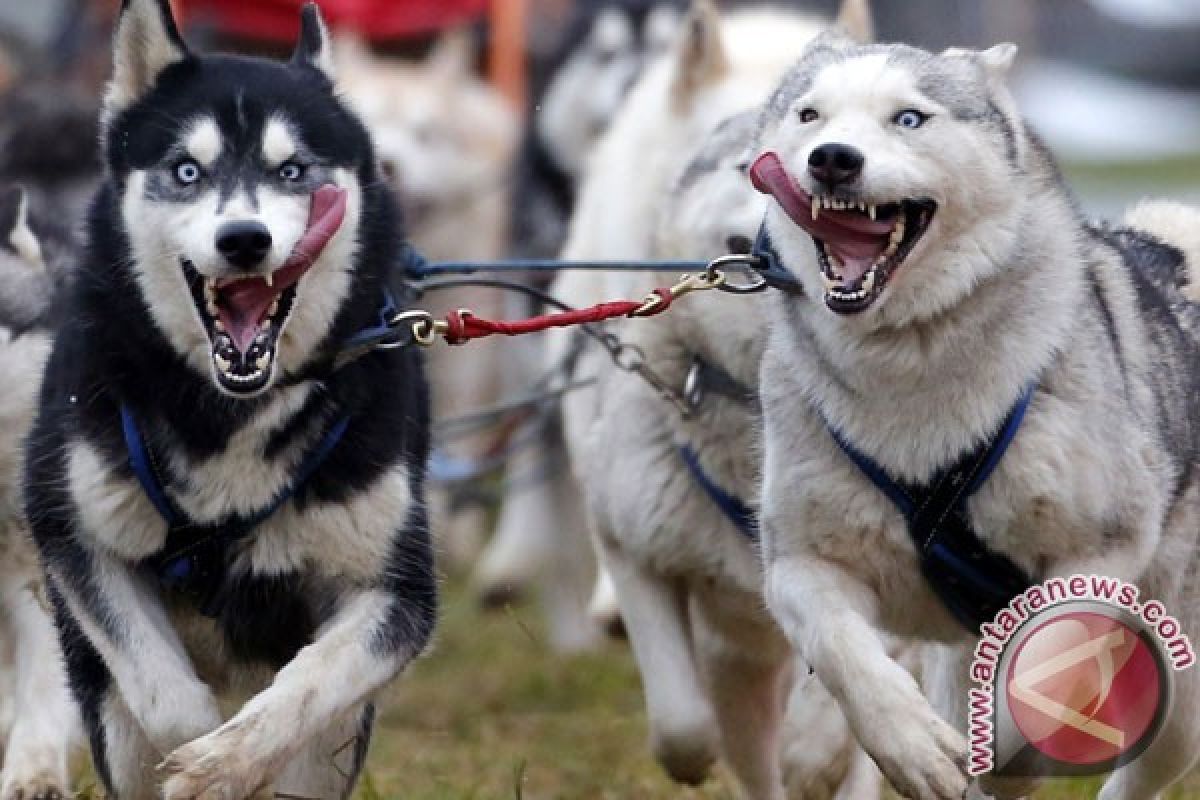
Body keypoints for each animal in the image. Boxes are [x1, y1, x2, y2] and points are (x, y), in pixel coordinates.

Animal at [25, 3, 436, 796]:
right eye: (187, 170)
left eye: (292, 170)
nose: (245, 239)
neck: (234, 412)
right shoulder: (76, 537)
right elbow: (167, 700)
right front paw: (202, 751)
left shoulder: (397, 592)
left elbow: (308, 686)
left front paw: (227, 762)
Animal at [753, 31, 1195, 800]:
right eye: (809, 114)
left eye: (908, 118)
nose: (832, 157)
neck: (910, 363)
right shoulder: (802, 561)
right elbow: (843, 653)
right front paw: (904, 746)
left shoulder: (1100, 546)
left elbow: (1039, 658)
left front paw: (1018, 741)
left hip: (1181, 694)